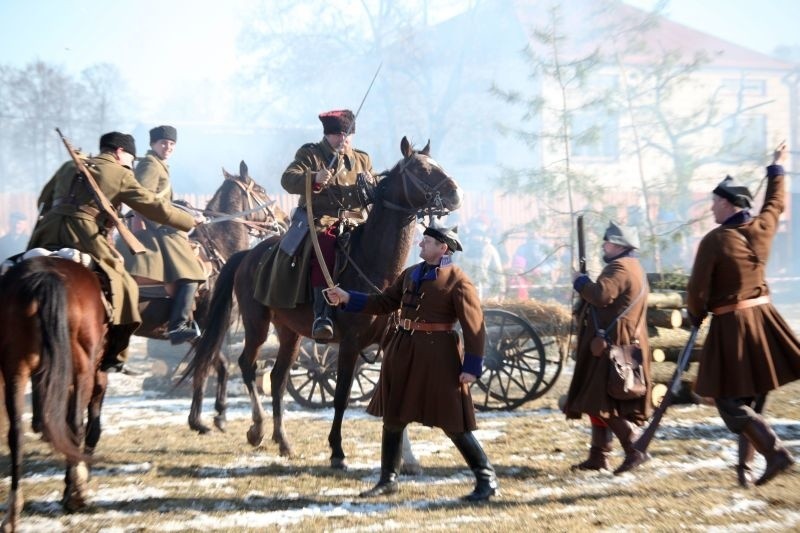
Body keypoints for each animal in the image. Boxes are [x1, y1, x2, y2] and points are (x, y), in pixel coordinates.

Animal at [0, 256, 108, 528]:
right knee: (76, 424)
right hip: (81, 367)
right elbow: (89, 425)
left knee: (16, 433)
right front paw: (75, 485)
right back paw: (76, 494)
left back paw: (12, 514)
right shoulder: (94, 373)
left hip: (15, 367)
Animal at [177, 136, 460, 466]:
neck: (375, 265)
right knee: (248, 365)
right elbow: (341, 398)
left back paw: (282, 440)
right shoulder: (349, 345)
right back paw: (257, 429)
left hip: (290, 333)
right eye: (421, 169)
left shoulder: (390, 341)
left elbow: (394, 392)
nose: (456, 194)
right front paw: (337, 451)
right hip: (257, 324)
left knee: (277, 378)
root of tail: (248, 255)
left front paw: (406, 457)